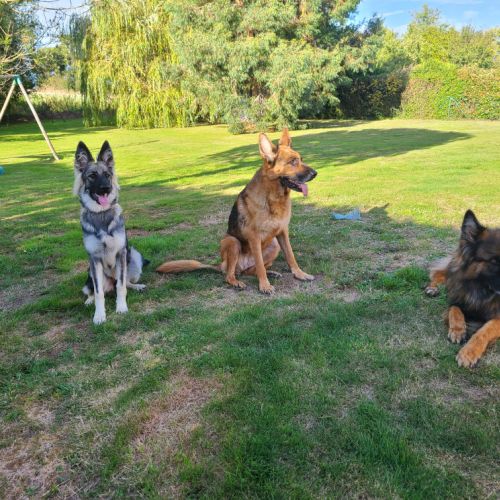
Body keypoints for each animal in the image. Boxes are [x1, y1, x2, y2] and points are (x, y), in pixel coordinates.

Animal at [74, 141, 148, 324]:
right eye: (92, 176)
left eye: (107, 175)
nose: (106, 188)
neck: (101, 214)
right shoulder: (94, 259)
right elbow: (98, 292)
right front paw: (99, 315)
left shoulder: (121, 254)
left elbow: (121, 286)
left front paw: (121, 308)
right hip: (90, 273)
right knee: (91, 290)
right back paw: (89, 300)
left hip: (134, 257)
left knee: (125, 282)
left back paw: (137, 286)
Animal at [156, 128, 317, 294]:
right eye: (292, 161)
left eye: (301, 159)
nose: (315, 173)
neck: (273, 198)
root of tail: (223, 265)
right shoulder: (254, 237)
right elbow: (260, 265)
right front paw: (264, 286)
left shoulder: (283, 232)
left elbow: (291, 256)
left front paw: (300, 274)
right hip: (232, 242)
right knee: (231, 274)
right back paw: (237, 282)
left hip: (274, 244)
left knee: (250, 270)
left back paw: (270, 272)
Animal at [425, 210, 500, 367]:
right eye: (494, 261)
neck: (481, 290)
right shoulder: (456, 299)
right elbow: (455, 310)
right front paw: (458, 331)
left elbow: (486, 329)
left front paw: (469, 352)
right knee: (438, 273)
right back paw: (432, 288)